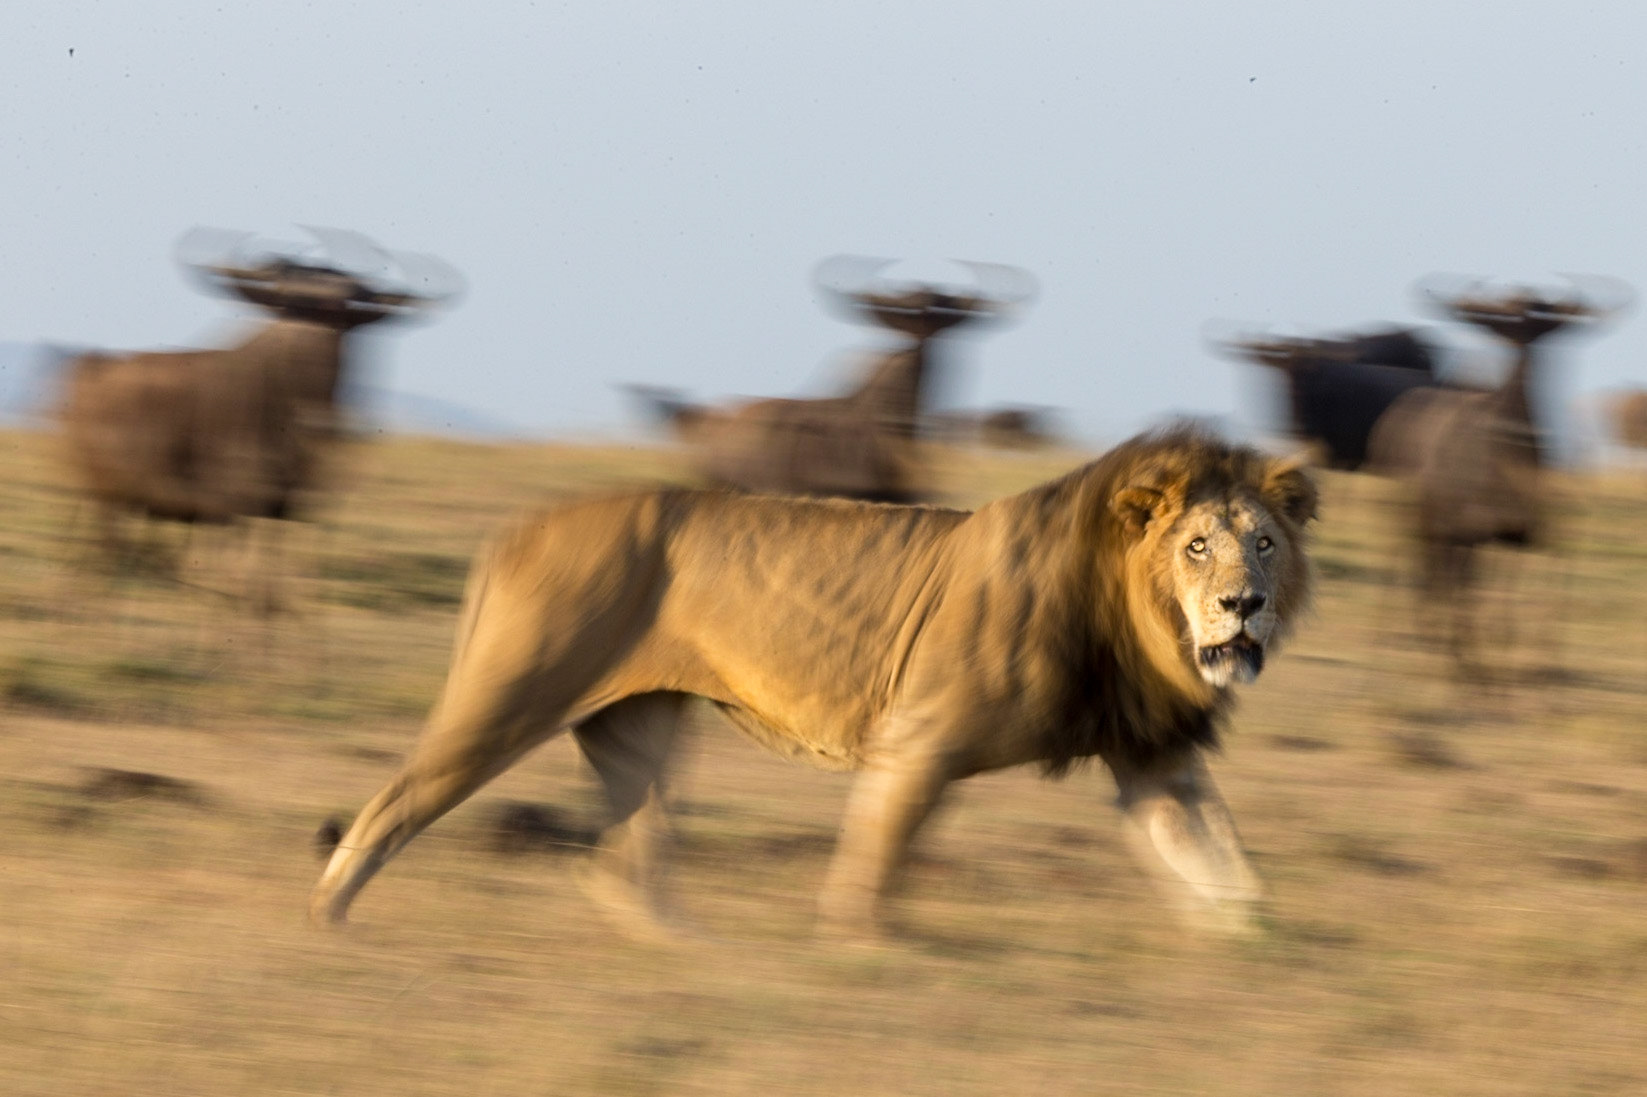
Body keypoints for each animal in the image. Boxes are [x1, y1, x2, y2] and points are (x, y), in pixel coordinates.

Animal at [311, 426, 1316, 941]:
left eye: (1263, 542)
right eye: (1196, 545)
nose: (1243, 604)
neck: (1132, 620)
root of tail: (516, 526)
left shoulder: (1150, 755)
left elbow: (1226, 869)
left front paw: (1255, 952)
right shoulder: (920, 738)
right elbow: (873, 858)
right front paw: (858, 956)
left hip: (640, 723)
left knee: (621, 860)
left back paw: (689, 949)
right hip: (511, 692)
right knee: (395, 801)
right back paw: (329, 919)